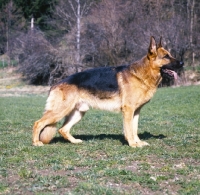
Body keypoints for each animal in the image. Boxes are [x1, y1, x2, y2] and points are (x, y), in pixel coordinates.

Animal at [33, 36, 184, 147]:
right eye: (166, 56)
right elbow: (129, 130)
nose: (182, 63)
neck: (143, 74)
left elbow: (134, 129)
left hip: (78, 113)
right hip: (60, 111)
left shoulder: (136, 111)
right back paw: (36, 142)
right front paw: (132, 144)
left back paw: (75, 141)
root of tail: (55, 84)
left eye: (170, 55)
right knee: (38, 123)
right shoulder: (128, 110)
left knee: (62, 129)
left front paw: (138, 142)